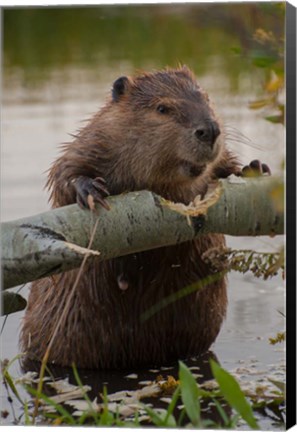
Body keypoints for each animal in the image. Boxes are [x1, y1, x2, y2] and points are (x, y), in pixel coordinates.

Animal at [20, 66, 266, 370]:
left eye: (207, 98)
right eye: (162, 108)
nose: (209, 130)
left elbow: (225, 164)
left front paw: (254, 167)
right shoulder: (95, 139)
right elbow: (65, 171)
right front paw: (89, 190)